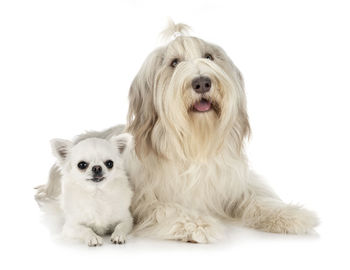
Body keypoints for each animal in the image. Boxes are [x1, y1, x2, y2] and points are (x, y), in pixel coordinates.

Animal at [37, 22, 318, 243]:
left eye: (209, 57)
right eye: (174, 63)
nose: (202, 82)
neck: (194, 144)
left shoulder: (234, 185)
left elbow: (257, 199)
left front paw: (289, 215)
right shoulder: (145, 201)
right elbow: (168, 209)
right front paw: (197, 224)